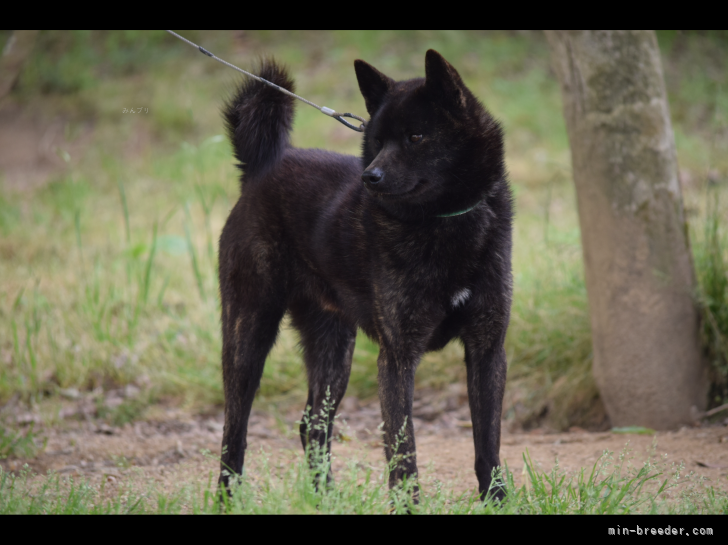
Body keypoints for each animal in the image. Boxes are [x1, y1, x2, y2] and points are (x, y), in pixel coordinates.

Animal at [216, 49, 512, 500]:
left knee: (311, 425)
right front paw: (409, 506)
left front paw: (497, 501)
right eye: (376, 141)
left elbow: (488, 443)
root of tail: (259, 172)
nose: (370, 177)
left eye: (416, 137)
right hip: (248, 337)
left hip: (334, 348)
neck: (443, 222)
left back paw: (324, 500)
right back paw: (228, 498)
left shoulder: (487, 349)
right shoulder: (397, 358)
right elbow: (404, 452)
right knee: (234, 431)